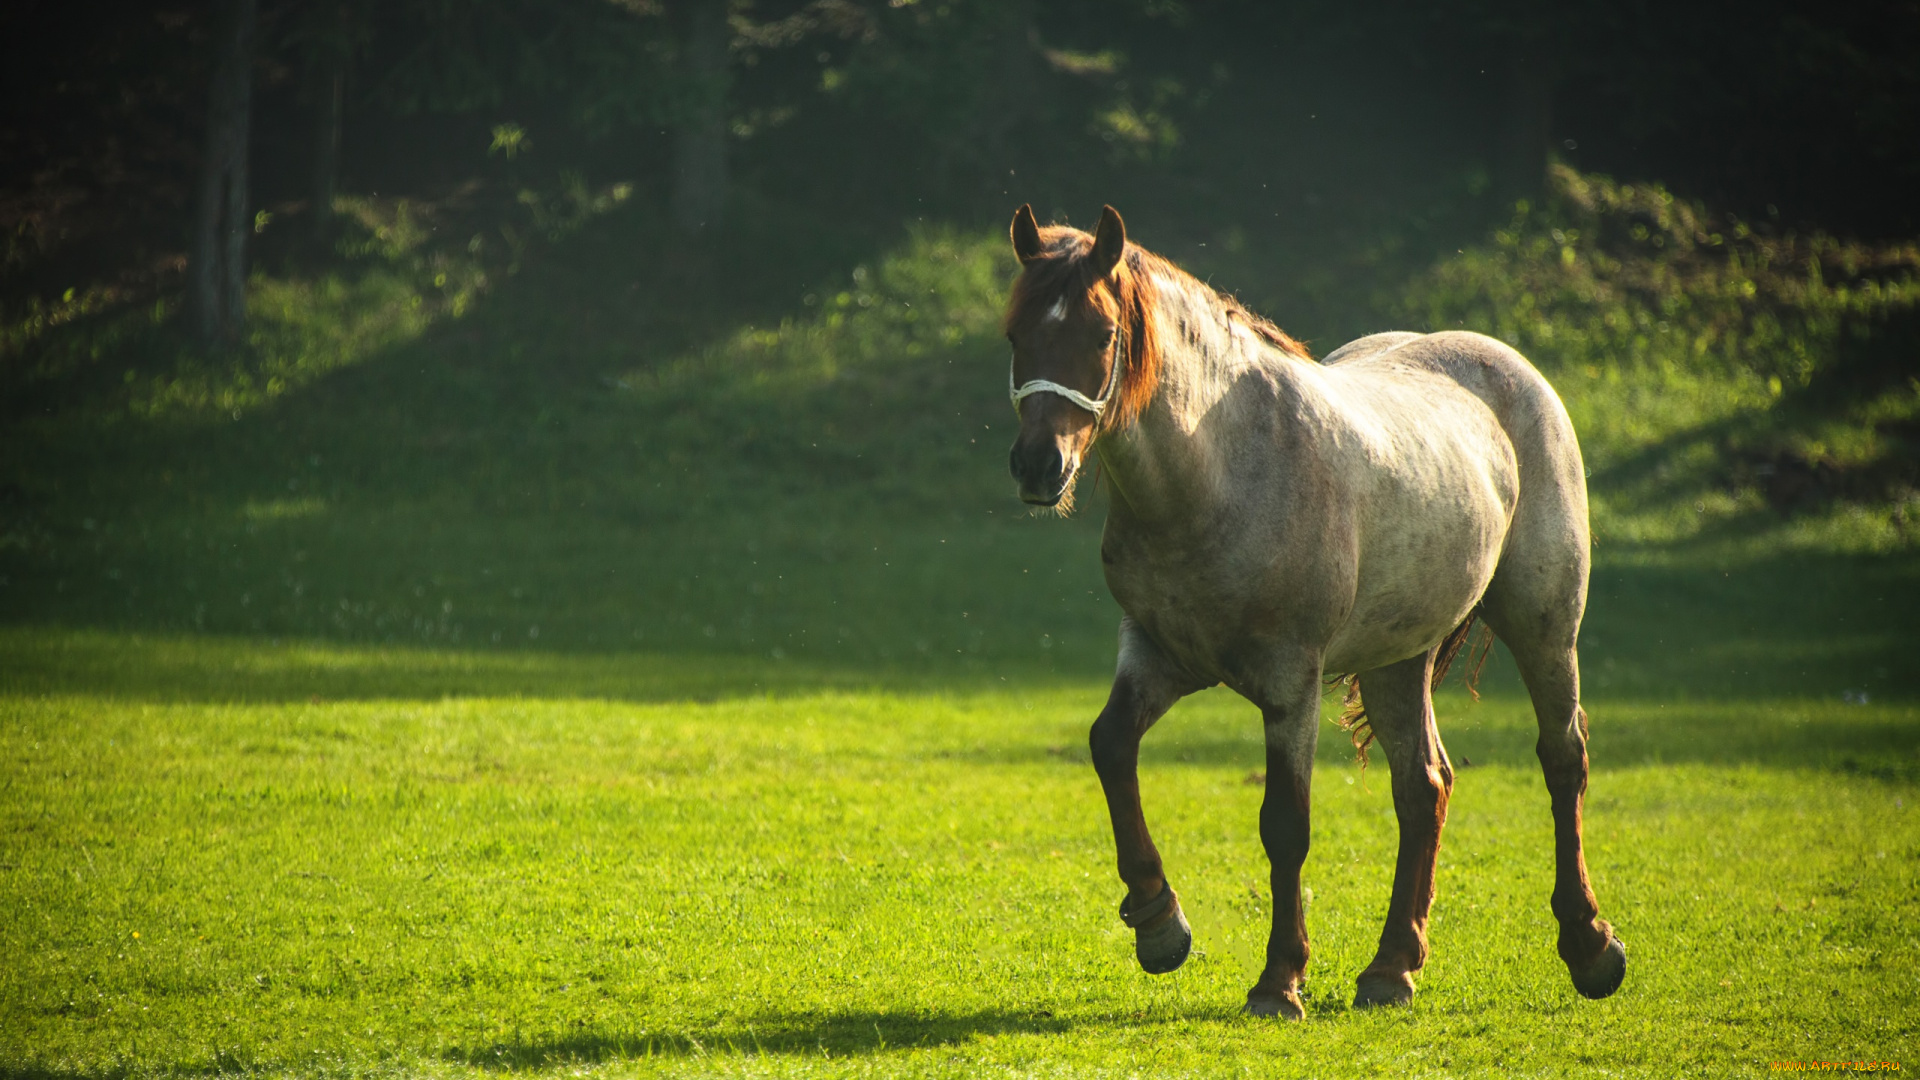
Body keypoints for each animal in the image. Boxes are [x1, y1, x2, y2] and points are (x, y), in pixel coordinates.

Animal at [1006, 203, 1620, 1014]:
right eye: (1016, 334)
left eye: (1103, 334)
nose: (1039, 465)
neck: (1221, 472)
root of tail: (1514, 371)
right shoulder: (1158, 655)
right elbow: (1110, 746)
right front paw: (1159, 923)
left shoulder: (1290, 682)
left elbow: (1285, 826)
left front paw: (1279, 979)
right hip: (1398, 659)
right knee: (1422, 787)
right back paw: (1392, 968)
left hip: (1546, 627)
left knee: (1562, 760)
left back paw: (1590, 946)